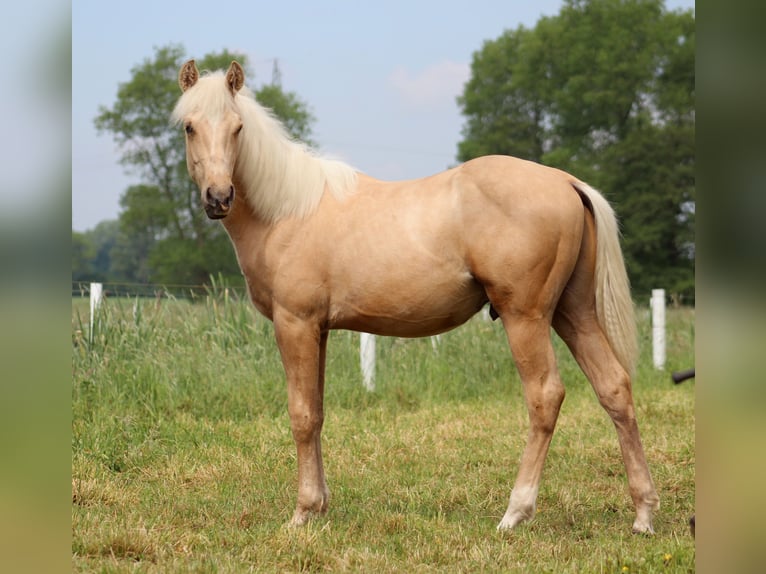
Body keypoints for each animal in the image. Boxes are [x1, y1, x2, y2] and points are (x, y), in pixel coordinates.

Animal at [172, 59, 660, 536]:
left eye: (237, 127)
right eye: (190, 126)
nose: (219, 197)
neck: (288, 210)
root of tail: (566, 181)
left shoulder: (296, 324)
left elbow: (302, 415)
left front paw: (304, 511)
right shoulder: (318, 330)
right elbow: (319, 412)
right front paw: (322, 504)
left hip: (527, 317)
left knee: (545, 397)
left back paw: (515, 512)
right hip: (573, 313)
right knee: (614, 387)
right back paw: (643, 514)